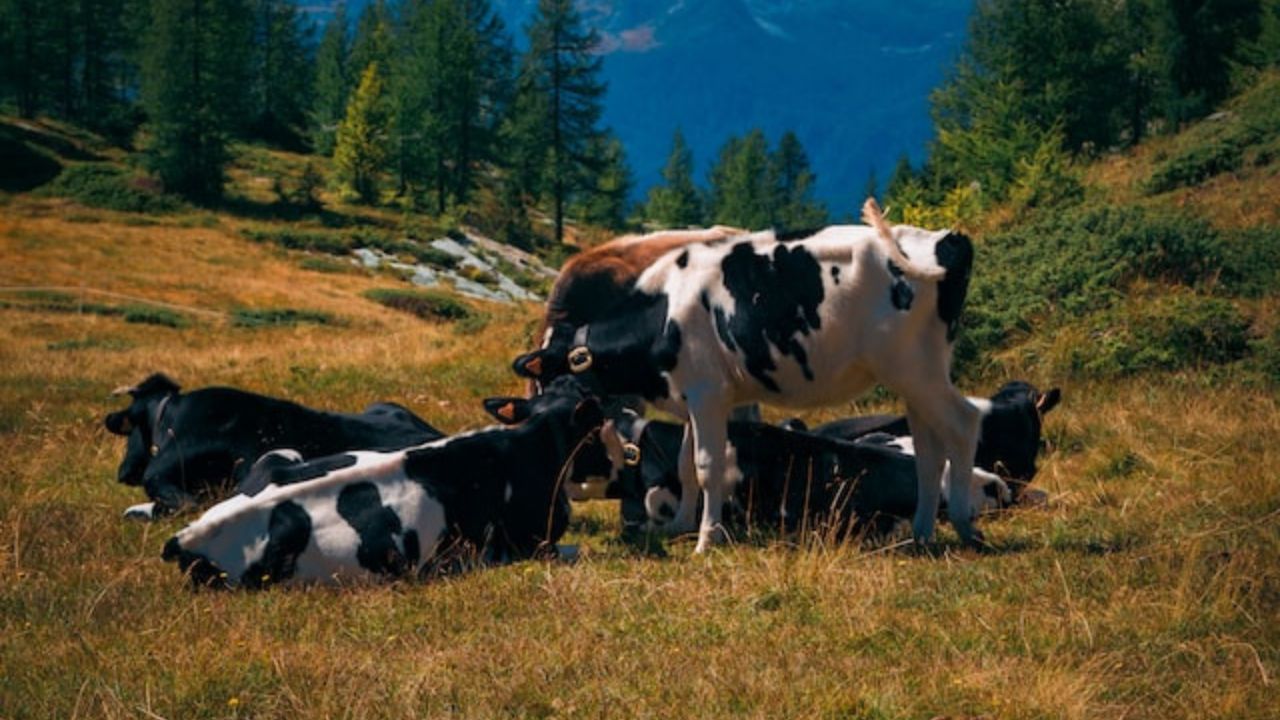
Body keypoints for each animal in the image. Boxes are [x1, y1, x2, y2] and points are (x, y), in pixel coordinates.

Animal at [512, 199, 981, 552]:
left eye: (574, 419)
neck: (666, 309)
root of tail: (944, 238)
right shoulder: (696, 395)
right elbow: (685, 464)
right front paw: (679, 525)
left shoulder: (707, 393)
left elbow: (707, 465)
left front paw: (706, 539)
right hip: (916, 376)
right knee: (928, 449)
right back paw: (921, 533)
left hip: (915, 370)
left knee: (963, 423)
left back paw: (963, 525)